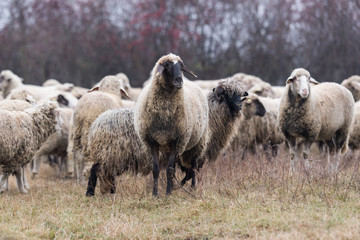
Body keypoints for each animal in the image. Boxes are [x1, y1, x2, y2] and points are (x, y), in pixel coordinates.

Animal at [134, 53, 208, 196]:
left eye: (181, 65)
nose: (179, 80)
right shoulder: (152, 141)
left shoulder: (176, 140)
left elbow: (169, 169)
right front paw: (155, 194)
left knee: (193, 166)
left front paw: (168, 193)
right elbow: (156, 169)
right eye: (166, 66)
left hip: (197, 143)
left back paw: (193, 188)